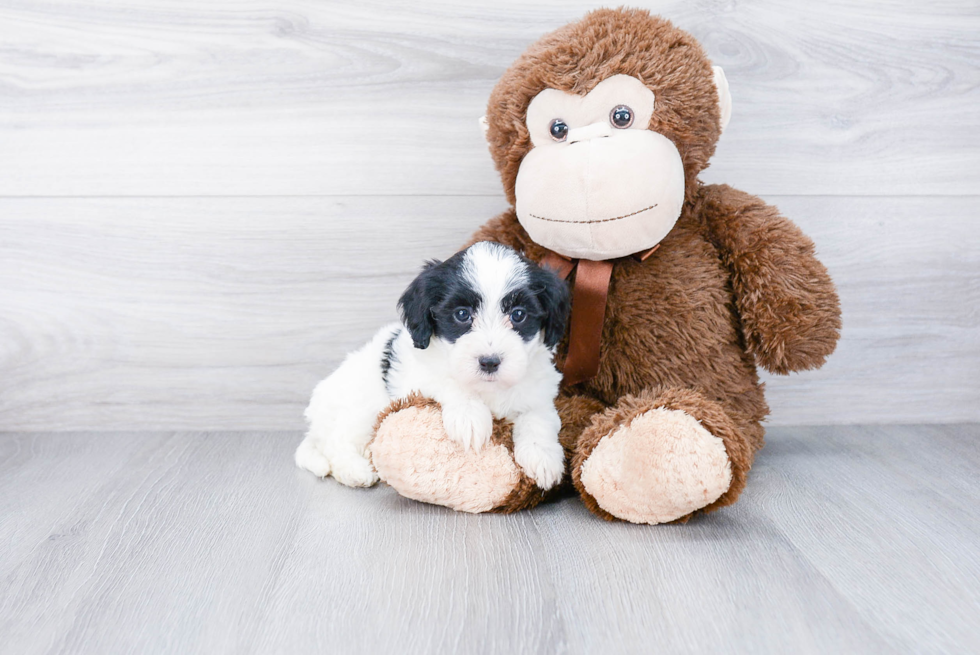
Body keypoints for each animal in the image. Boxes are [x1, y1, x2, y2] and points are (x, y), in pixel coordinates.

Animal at [298, 241, 576, 492]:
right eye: (462, 314)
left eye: (518, 314)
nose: (489, 362)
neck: (488, 389)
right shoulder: (416, 376)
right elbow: (447, 381)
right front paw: (469, 417)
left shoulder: (539, 392)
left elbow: (538, 418)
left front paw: (542, 458)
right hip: (358, 407)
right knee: (337, 441)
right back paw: (355, 470)